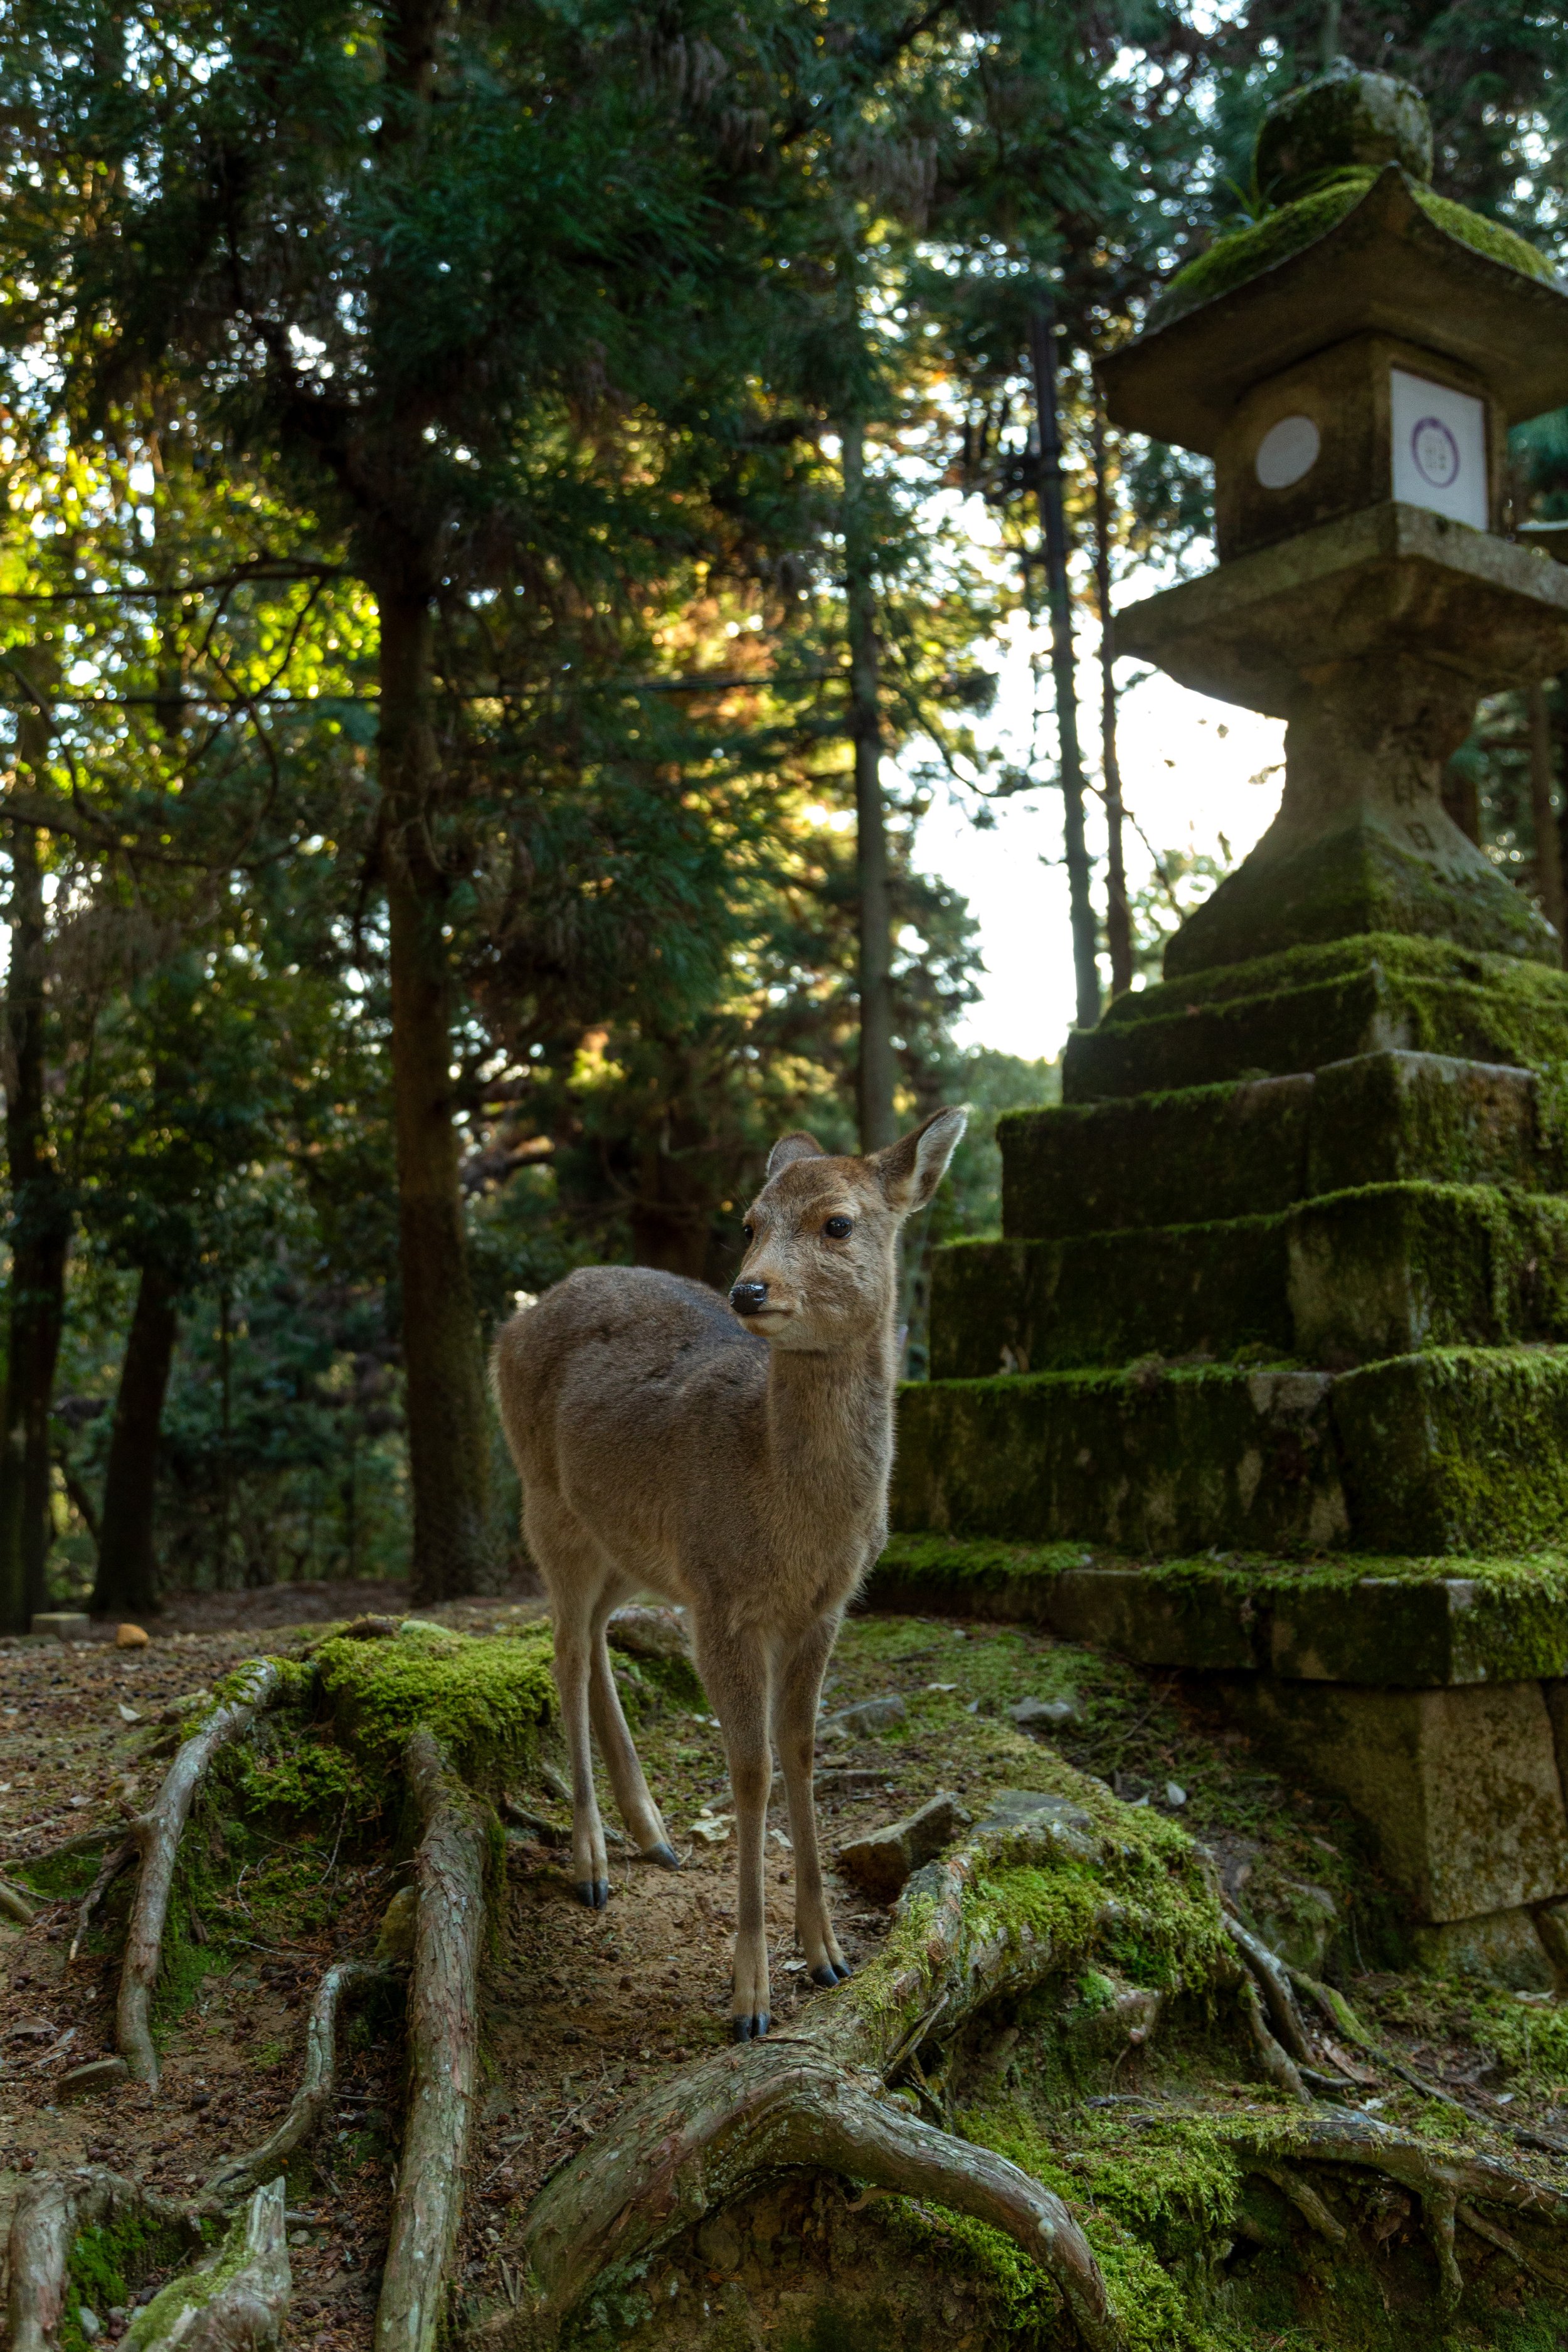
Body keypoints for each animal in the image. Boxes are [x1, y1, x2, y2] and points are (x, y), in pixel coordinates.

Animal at [495, 1101, 968, 2042]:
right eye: (749, 1222)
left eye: (837, 1222)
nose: (749, 1291)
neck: (791, 1518)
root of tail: (510, 1324)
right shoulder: (719, 1598)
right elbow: (749, 1771)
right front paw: (749, 1994)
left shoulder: (825, 1607)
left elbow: (802, 1749)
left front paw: (826, 1952)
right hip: (546, 1504)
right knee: (562, 1648)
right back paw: (592, 1859)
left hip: (631, 1545)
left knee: (593, 1636)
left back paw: (653, 1829)